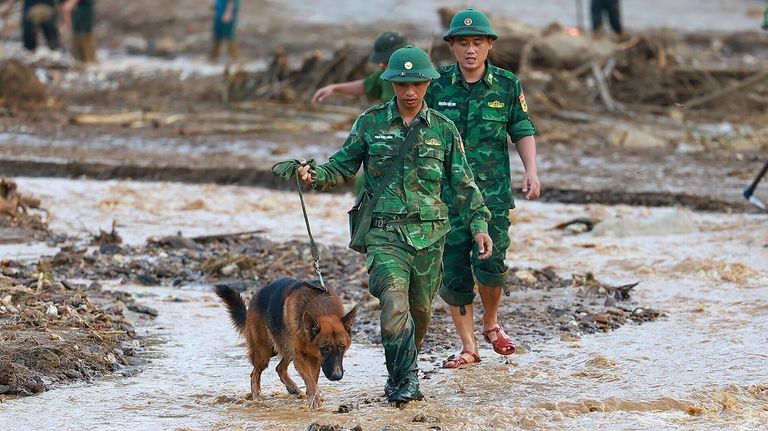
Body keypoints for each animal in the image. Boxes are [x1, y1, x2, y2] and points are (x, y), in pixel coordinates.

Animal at [214, 278, 358, 410]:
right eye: (326, 348)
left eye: (342, 347)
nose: (337, 376)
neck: (322, 308)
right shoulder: (302, 357)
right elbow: (310, 380)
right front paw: (314, 399)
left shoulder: (314, 358)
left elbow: (313, 379)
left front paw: (313, 396)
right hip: (266, 352)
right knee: (254, 374)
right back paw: (257, 399)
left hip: (286, 348)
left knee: (279, 367)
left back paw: (291, 387)